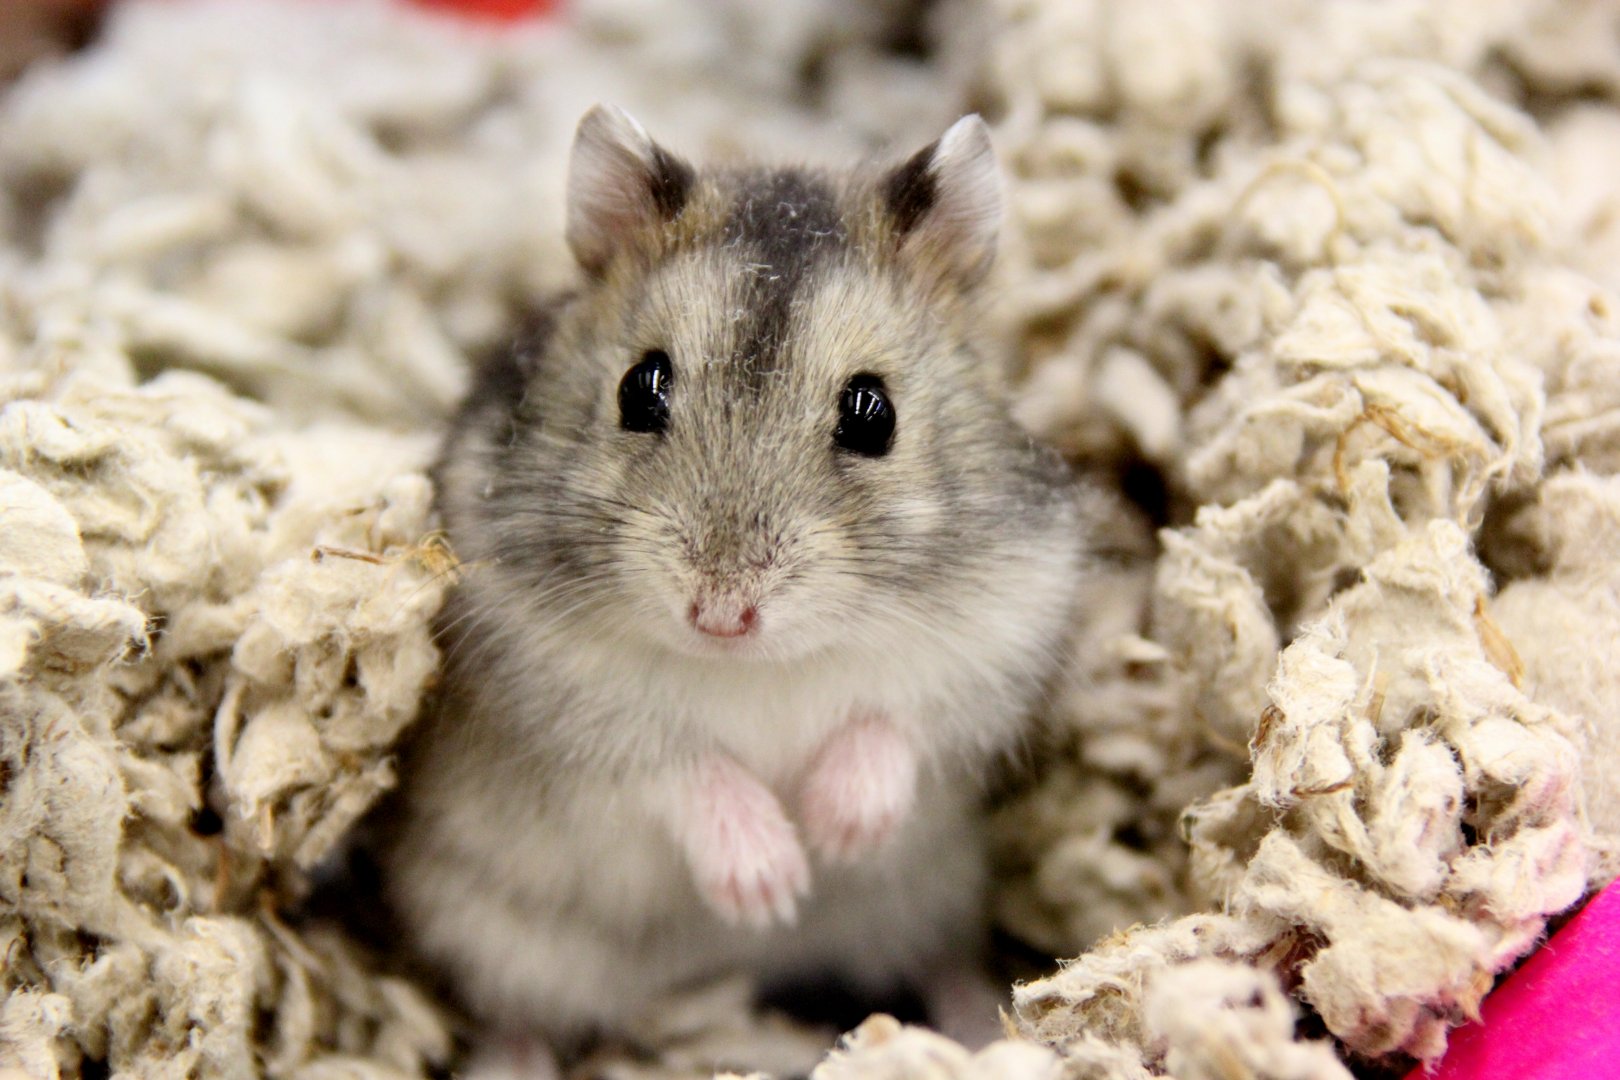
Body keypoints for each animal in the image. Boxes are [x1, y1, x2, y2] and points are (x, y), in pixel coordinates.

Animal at [380, 105, 1088, 1048]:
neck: (761, 669)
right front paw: (772, 885)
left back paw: (977, 1027)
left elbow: (894, 724)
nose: (719, 615)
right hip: (488, 929)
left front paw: (838, 834)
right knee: (514, 1016)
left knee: (937, 959)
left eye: (874, 413)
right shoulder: (561, 701)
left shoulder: (1000, 637)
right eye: (639, 388)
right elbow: (681, 766)